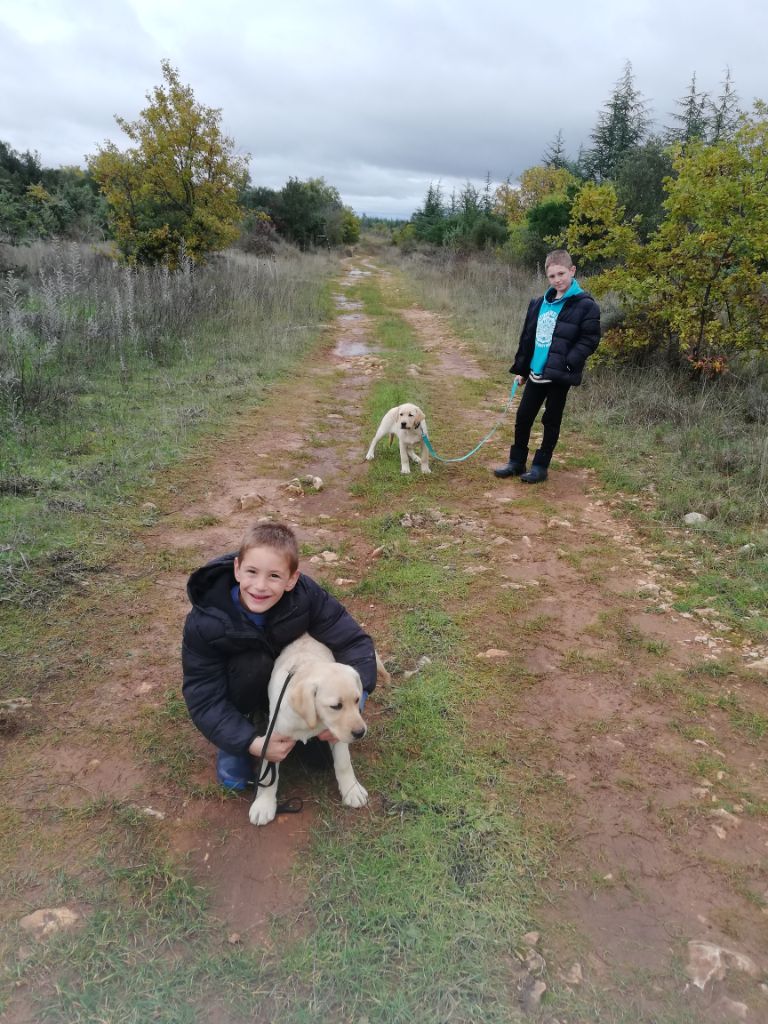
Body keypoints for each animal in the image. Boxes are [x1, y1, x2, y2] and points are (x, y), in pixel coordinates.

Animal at [249, 634, 387, 827]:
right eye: (336, 706)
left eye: (357, 699)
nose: (360, 732)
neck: (309, 720)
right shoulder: (274, 737)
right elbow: (269, 775)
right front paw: (263, 805)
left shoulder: (336, 735)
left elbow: (343, 763)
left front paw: (352, 790)